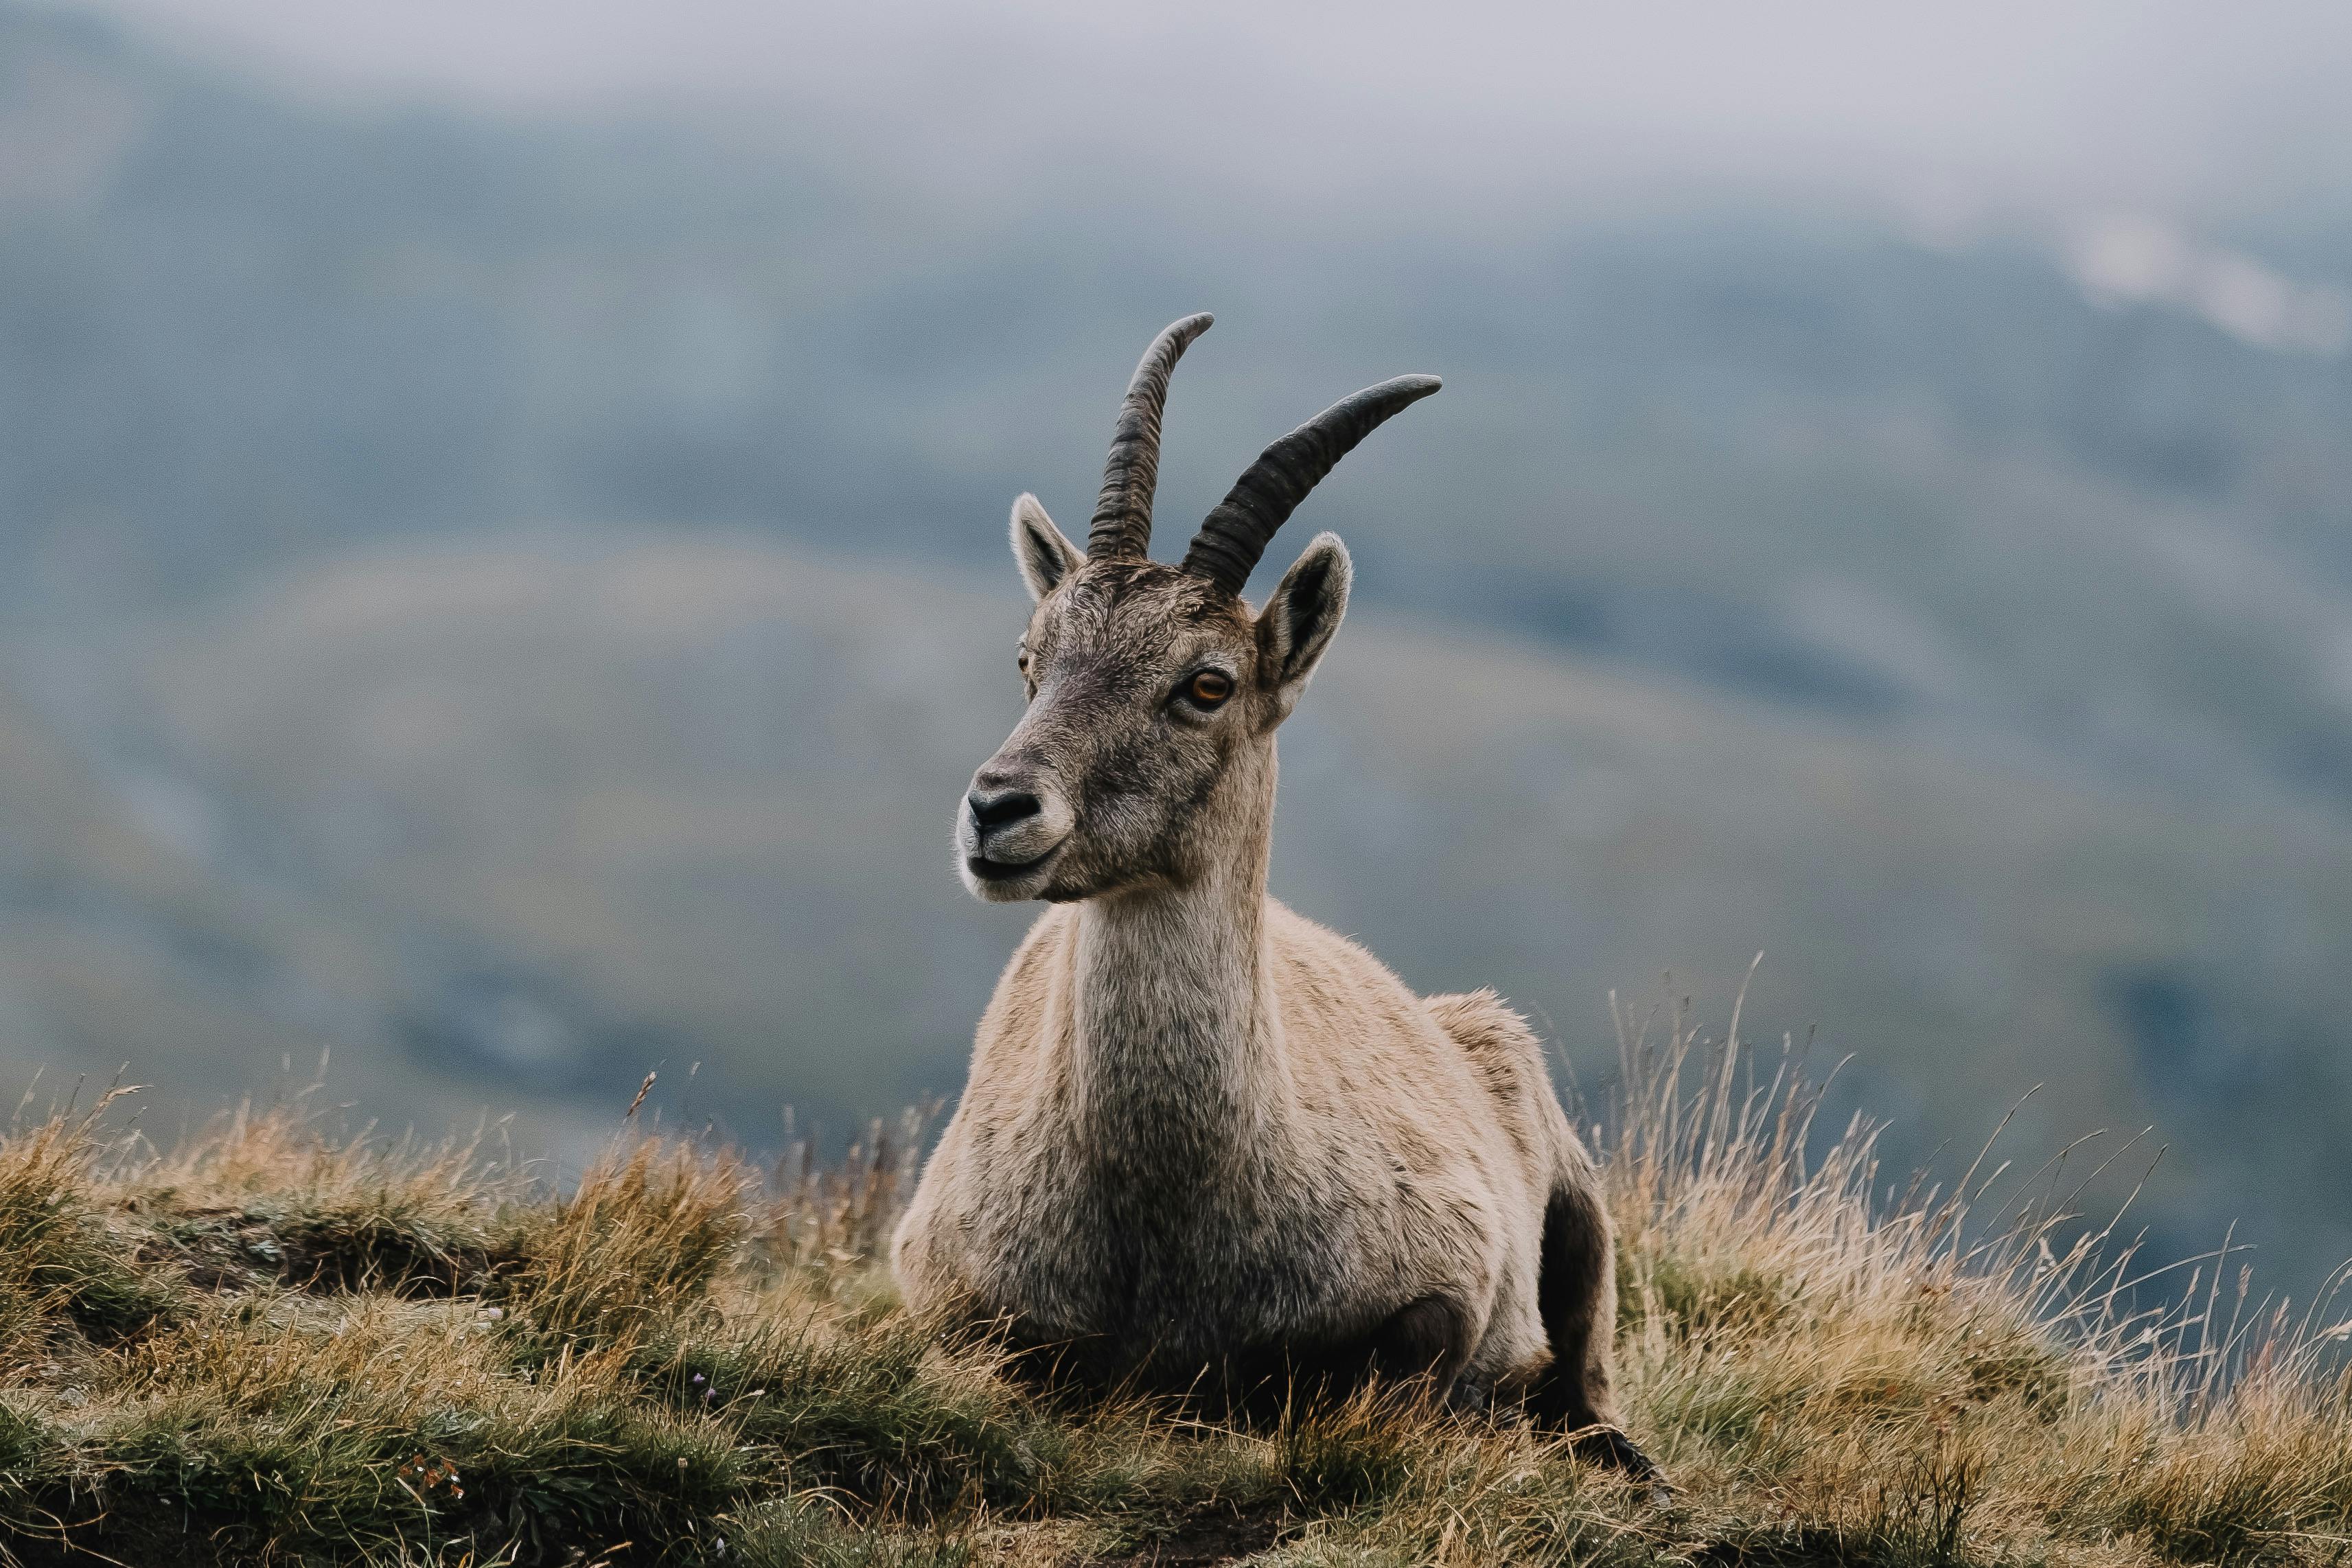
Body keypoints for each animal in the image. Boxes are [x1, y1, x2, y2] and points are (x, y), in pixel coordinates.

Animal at [892, 314, 1654, 1473]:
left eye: (1207, 683)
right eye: (1029, 658)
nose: (996, 810)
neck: (1162, 1210)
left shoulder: (1451, 1262)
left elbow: (1426, 1349)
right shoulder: (940, 1282)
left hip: (1577, 1209)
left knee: (1591, 1385)